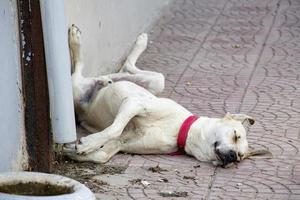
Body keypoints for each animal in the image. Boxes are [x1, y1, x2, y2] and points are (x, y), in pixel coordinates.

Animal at [64, 25, 264, 169]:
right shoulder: (134, 104)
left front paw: (72, 151)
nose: (232, 157)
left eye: (240, 157)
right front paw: (87, 144)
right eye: (236, 136)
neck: (178, 130)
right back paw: (77, 39)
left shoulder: (121, 143)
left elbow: (102, 154)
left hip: (154, 83)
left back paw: (107, 78)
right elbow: (114, 129)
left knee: (123, 70)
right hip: (77, 89)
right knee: (79, 67)